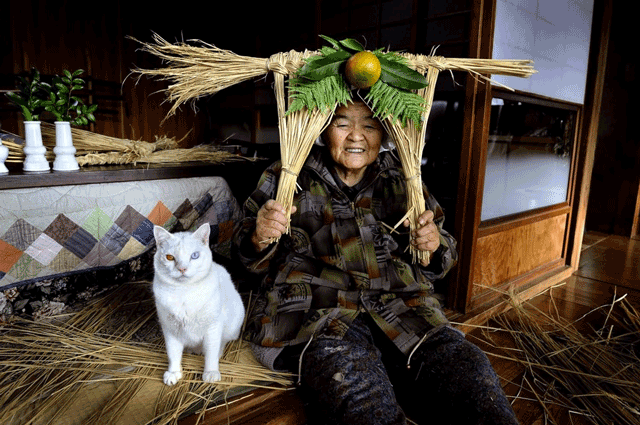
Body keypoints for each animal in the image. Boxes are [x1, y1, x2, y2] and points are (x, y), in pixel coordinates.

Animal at [152, 224, 245, 386]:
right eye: (170, 257)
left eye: (194, 255)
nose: (182, 269)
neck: (183, 292)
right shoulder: (170, 330)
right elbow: (172, 354)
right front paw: (173, 373)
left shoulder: (213, 327)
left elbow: (211, 353)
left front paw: (211, 372)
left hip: (233, 325)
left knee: (222, 343)